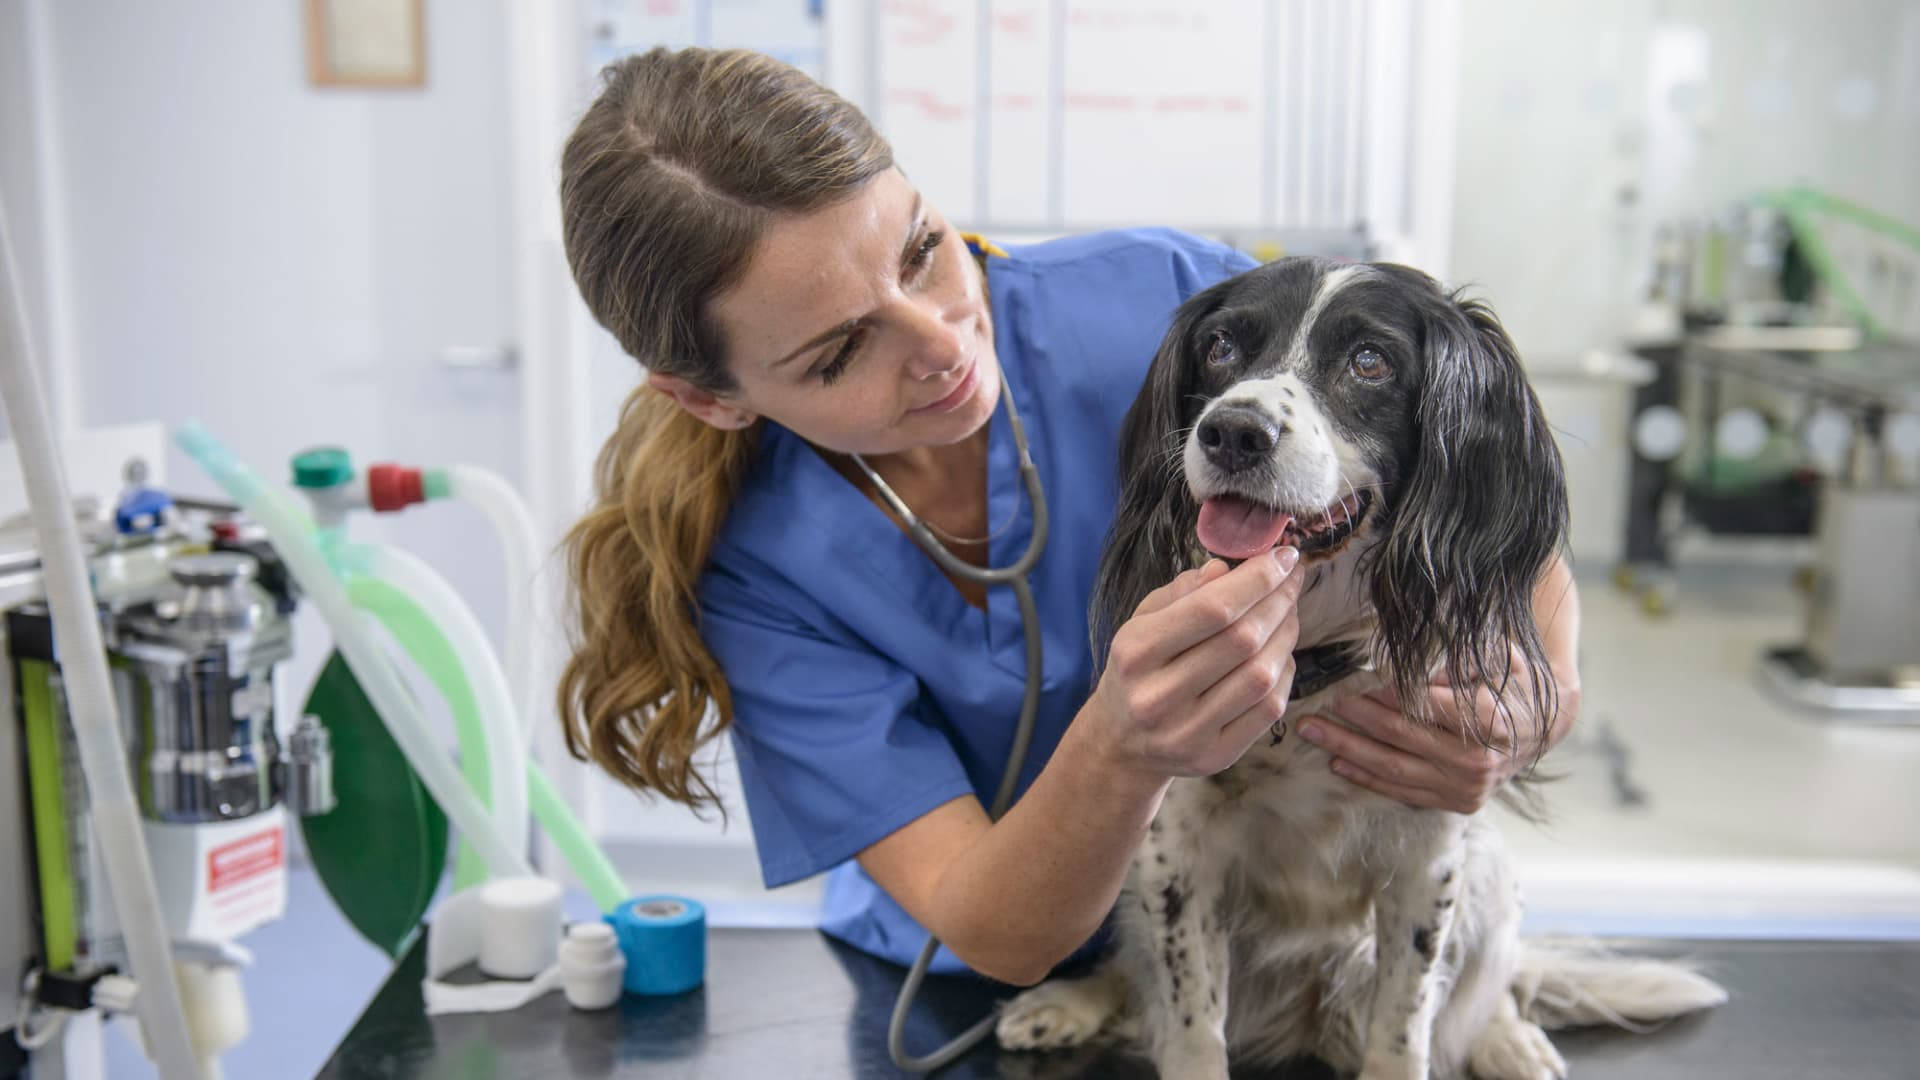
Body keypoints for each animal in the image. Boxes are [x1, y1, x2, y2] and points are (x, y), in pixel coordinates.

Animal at [998, 259, 1735, 1076]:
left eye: (1370, 361)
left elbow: (1404, 1023)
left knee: (1494, 983)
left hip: (1488, 871)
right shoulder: (1179, 854)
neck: (1311, 667)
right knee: (1135, 976)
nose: (1233, 432)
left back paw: (1509, 1039)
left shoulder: (1428, 860)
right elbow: (1191, 1025)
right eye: (1220, 347)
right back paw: (1067, 1002)